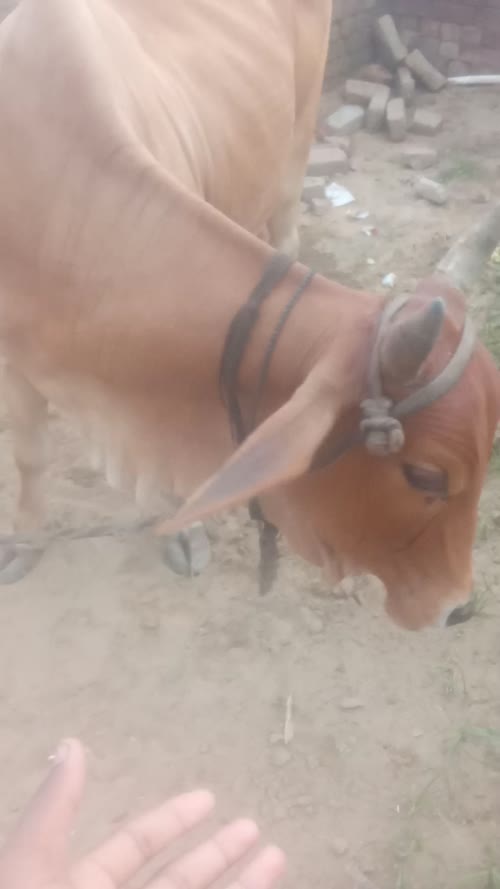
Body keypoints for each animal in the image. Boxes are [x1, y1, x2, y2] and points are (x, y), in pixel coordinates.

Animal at [0, 0, 499, 631]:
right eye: (425, 475)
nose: (459, 607)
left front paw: (183, 530)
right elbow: (29, 453)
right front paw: (24, 542)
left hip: (294, 153)